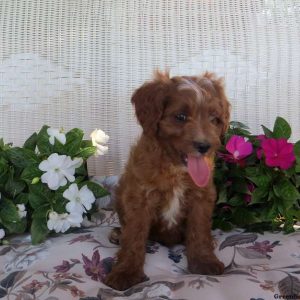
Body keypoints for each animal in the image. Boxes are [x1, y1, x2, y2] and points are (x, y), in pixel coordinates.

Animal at [104, 70, 231, 290]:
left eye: (214, 119)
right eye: (180, 117)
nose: (204, 146)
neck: (175, 168)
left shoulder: (201, 196)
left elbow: (199, 230)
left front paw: (204, 261)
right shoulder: (139, 196)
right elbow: (134, 236)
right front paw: (126, 272)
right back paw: (118, 234)